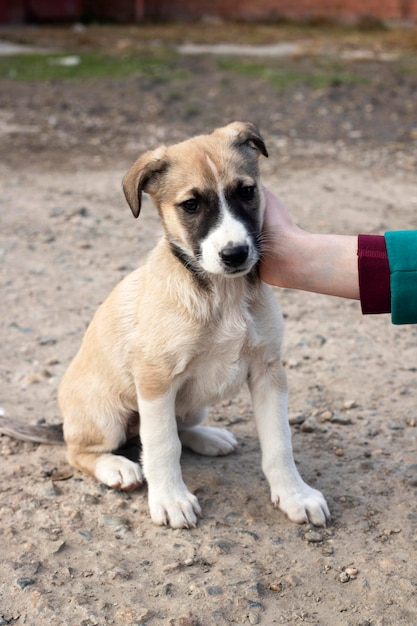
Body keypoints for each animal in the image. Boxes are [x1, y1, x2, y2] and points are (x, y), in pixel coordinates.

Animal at [3, 122, 330, 528]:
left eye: (246, 192)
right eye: (191, 205)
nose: (235, 254)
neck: (222, 293)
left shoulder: (268, 371)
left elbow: (279, 443)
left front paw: (295, 495)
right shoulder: (155, 381)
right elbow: (162, 445)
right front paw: (171, 499)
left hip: (191, 405)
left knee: (180, 427)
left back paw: (208, 438)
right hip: (107, 416)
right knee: (77, 450)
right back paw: (116, 467)